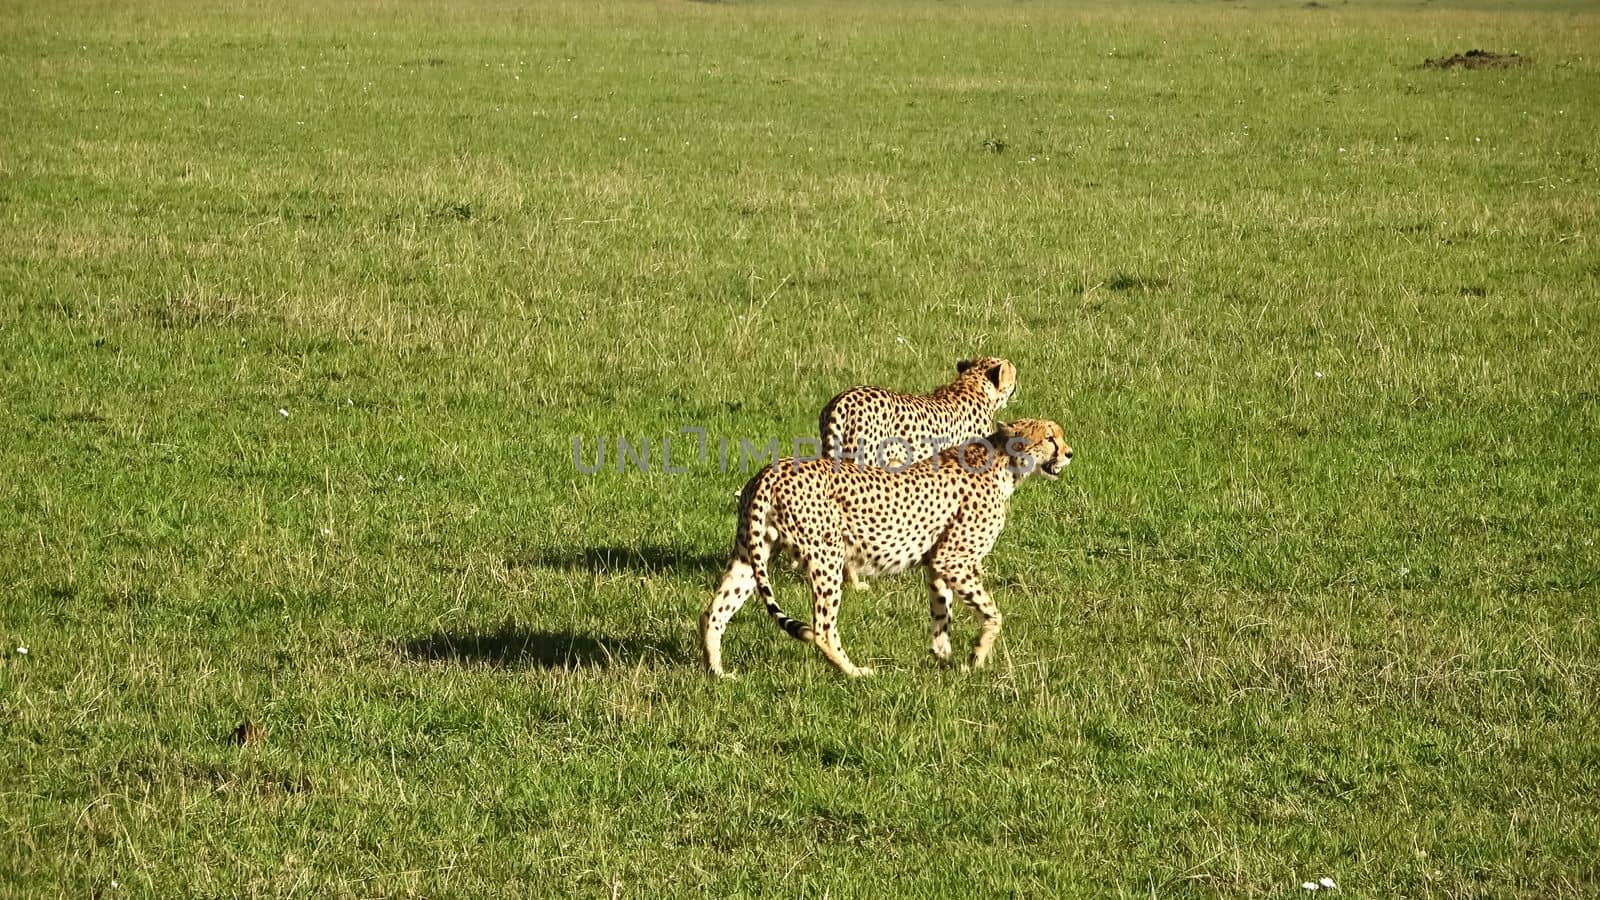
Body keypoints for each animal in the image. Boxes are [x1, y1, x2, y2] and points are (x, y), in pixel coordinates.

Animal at [700, 416, 1075, 675]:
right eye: (1050, 437)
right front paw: (977, 655)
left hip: (752, 554)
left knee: (713, 611)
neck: (1003, 462)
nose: (1070, 453)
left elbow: (942, 613)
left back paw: (717, 671)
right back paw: (854, 672)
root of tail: (769, 472)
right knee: (822, 628)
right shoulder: (953, 558)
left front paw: (943, 656)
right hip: (827, 557)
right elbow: (994, 613)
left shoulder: (936, 562)